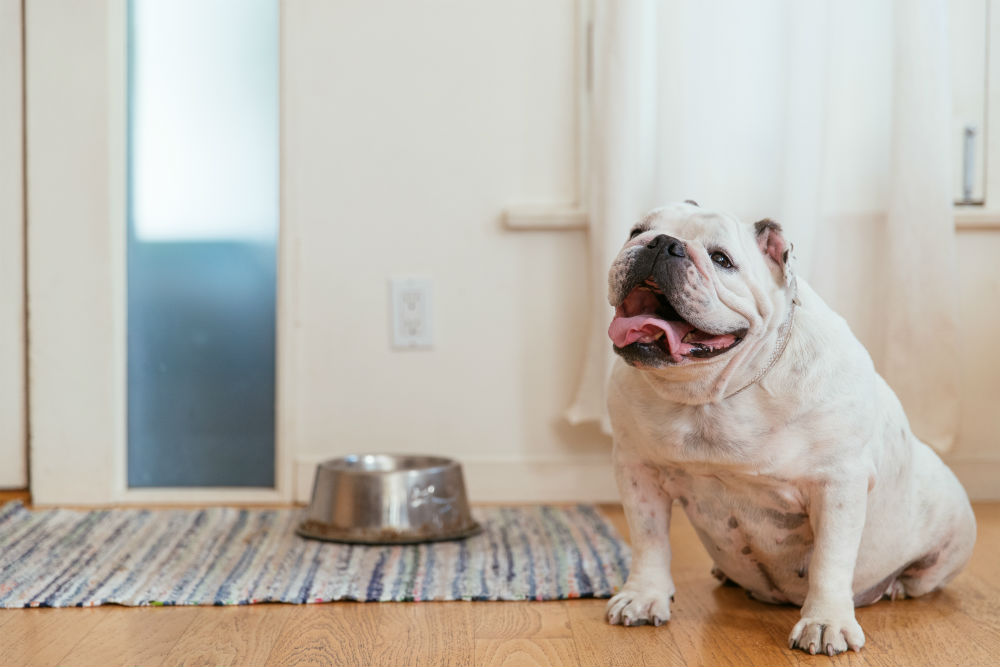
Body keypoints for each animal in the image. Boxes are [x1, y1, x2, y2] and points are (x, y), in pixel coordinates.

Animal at [600, 201, 976, 656]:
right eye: (636, 231)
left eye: (722, 260)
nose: (662, 244)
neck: (713, 395)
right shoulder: (638, 471)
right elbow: (649, 539)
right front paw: (643, 596)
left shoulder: (837, 485)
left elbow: (831, 561)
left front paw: (826, 622)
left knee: (919, 577)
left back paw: (896, 586)